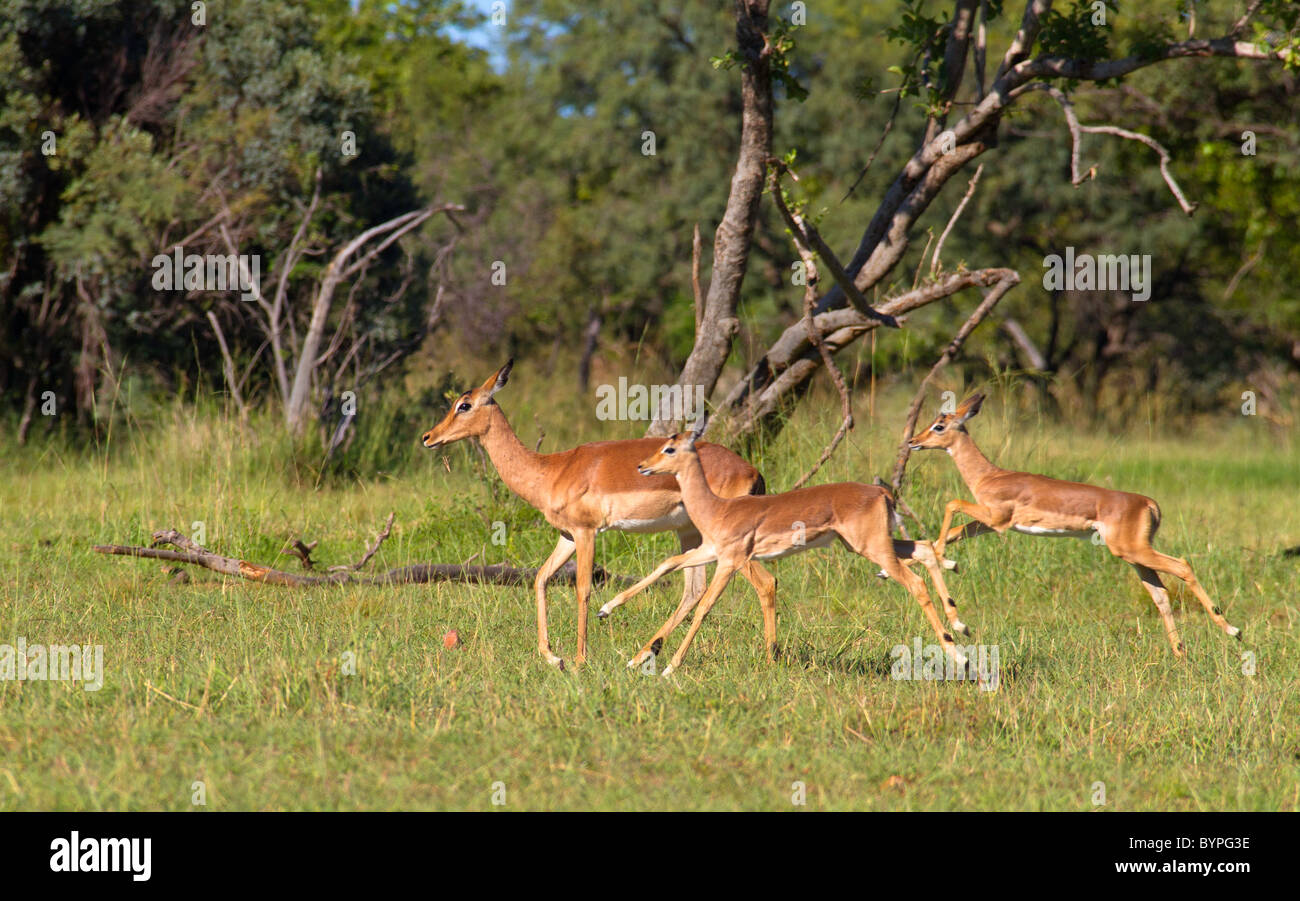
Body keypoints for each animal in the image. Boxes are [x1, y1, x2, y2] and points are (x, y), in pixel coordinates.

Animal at [420, 360, 773, 670]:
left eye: (464, 405)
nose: (428, 437)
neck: (551, 470)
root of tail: (753, 471)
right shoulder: (567, 536)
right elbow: (541, 578)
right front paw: (553, 658)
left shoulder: (586, 532)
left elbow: (582, 589)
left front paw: (579, 660)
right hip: (690, 533)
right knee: (694, 591)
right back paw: (641, 656)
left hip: (729, 543)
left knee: (765, 582)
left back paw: (770, 660)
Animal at [602, 414, 971, 677]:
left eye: (670, 448)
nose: (642, 466)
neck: (718, 508)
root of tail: (881, 491)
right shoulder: (712, 552)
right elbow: (668, 564)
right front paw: (609, 610)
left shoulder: (729, 561)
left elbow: (704, 606)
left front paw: (668, 667)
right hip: (868, 545)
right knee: (925, 550)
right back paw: (959, 629)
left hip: (874, 549)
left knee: (916, 582)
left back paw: (958, 656)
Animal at [908, 393, 1242, 657]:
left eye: (939, 425)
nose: (913, 441)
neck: (990, 475)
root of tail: (1148, 503)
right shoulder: (992, 524)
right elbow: (954, 532)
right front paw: (941, 560)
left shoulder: (997, 518)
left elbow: (952, 503)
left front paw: (944, 562)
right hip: (1134, 556)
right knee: (1160, 594)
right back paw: (1180, 652)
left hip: (1133, 550)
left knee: (1183, 566)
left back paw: (1232, 630)